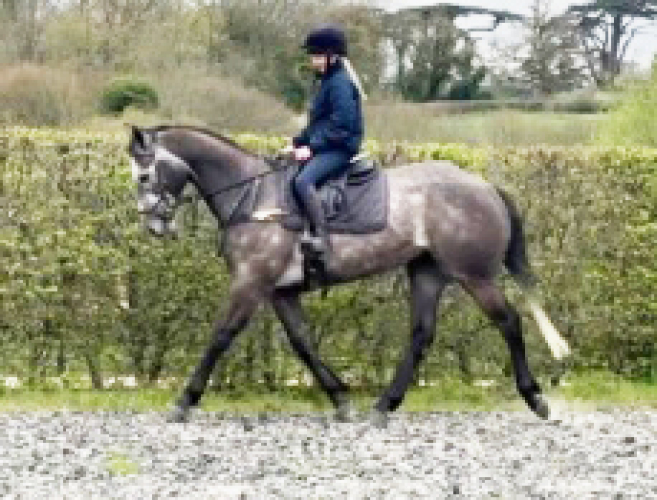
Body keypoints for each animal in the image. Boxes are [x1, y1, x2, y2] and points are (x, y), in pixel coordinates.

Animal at [127, 124, 570, 427]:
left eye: (144, 176)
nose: (154, 226)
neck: (253, 198)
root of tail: (486, 187)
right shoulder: (280, 292)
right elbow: (303, 343)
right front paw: (340, 398)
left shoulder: (251, 284)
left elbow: (221, 336)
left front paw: (185, 400)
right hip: (426, 273)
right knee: (421, 335)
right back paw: (385, 405)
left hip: (474, 276)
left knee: (509, 321)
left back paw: (535, 398)